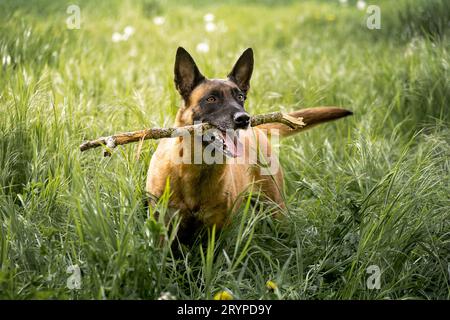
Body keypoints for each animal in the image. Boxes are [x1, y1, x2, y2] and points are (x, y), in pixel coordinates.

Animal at [146, 47, 354, 242]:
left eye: (240, 97)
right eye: (211, 99)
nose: (244, 119)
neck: (196, 167)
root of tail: (258, 131)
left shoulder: (215, 232)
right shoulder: (164, 228)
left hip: (275, 208)